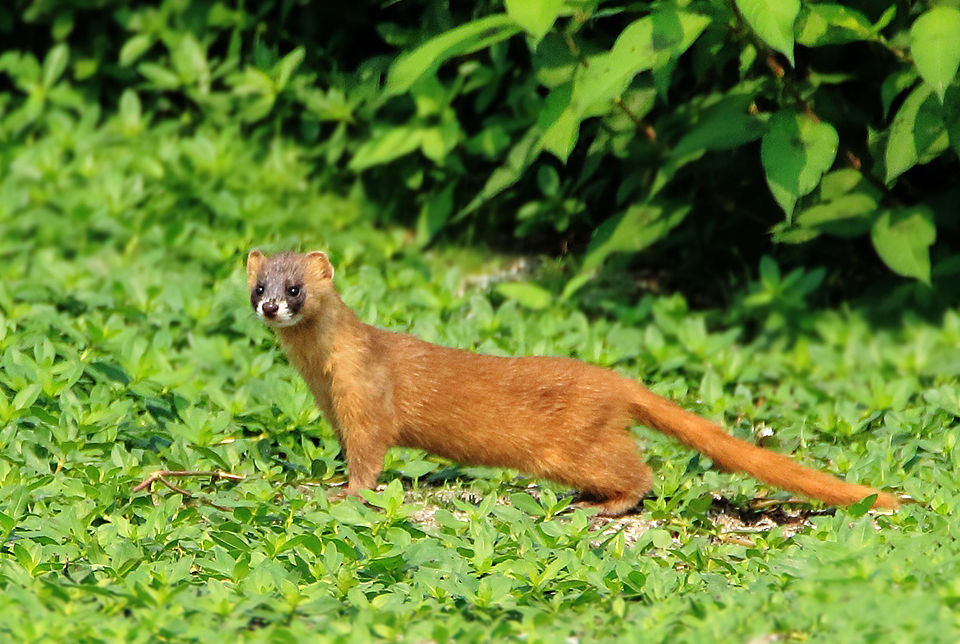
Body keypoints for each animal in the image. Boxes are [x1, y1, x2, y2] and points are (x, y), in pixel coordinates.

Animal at [246, 249, 900, 516]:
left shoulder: (367, 398)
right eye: (258, 285)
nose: (271, 307)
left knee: (638, 471)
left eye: (296, 287)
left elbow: (369, 455)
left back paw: (604, 505)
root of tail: (617, 382)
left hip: (572, 446)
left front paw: (345, 493)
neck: (323, 375)